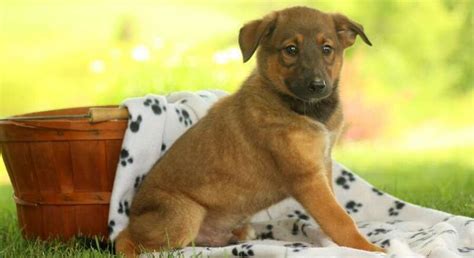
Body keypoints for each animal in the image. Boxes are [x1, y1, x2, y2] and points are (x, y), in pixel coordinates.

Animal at [116, 6, 384, 256]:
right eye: (291, 50)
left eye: (327, 49)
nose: (318, 86)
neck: (302, 109)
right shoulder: (306, 177)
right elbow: (340, 219)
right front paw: (369, 248)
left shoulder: (323, 164)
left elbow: (336, 211)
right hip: (184, 214)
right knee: (127, 239)